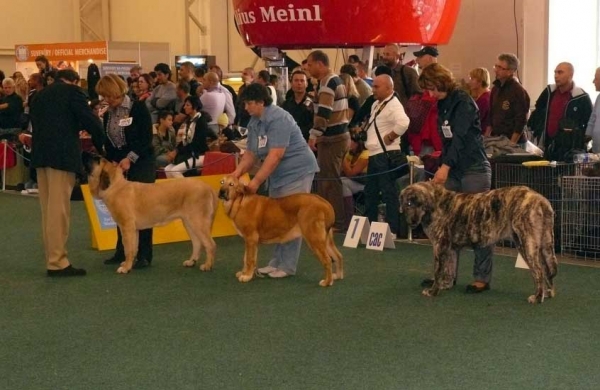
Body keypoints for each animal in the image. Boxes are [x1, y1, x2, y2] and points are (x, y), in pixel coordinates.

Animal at [83, 152, 217, 274]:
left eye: (96, 159)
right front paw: (128, 263)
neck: (115, 186)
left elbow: (128, 248)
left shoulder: (126, 227)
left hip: (197, 222)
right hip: (189, 223)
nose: (84, 153)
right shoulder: (133, 229)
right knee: (197, 243)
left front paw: (126, 268)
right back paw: (191, 262)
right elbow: (133, 248)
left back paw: (207, 265)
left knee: (210, 244)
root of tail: (207, 186)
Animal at [398, 181, 556, 304]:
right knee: (547, 269)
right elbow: (449, 269)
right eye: (408, 203)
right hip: (544, 245)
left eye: (420, 204)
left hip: (526, 243)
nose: (412, 221)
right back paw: (547, 293)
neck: (435, 204)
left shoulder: (440, 247)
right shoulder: (450, 249)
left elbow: (438, 271)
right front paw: (446, 285)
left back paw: (537, 297)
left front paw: (433, 291)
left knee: (538, 271)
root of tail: (540, 199)